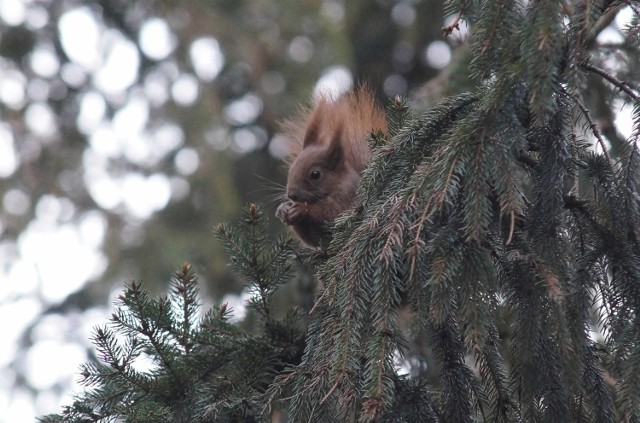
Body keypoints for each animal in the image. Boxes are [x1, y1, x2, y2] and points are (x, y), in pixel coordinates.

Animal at [274, 86, 384, 248]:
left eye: (315, 174)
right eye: (291, 169)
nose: (291, 195)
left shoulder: (347, 195)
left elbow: (331, 214)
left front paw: (302, 210)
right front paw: (283, 209)